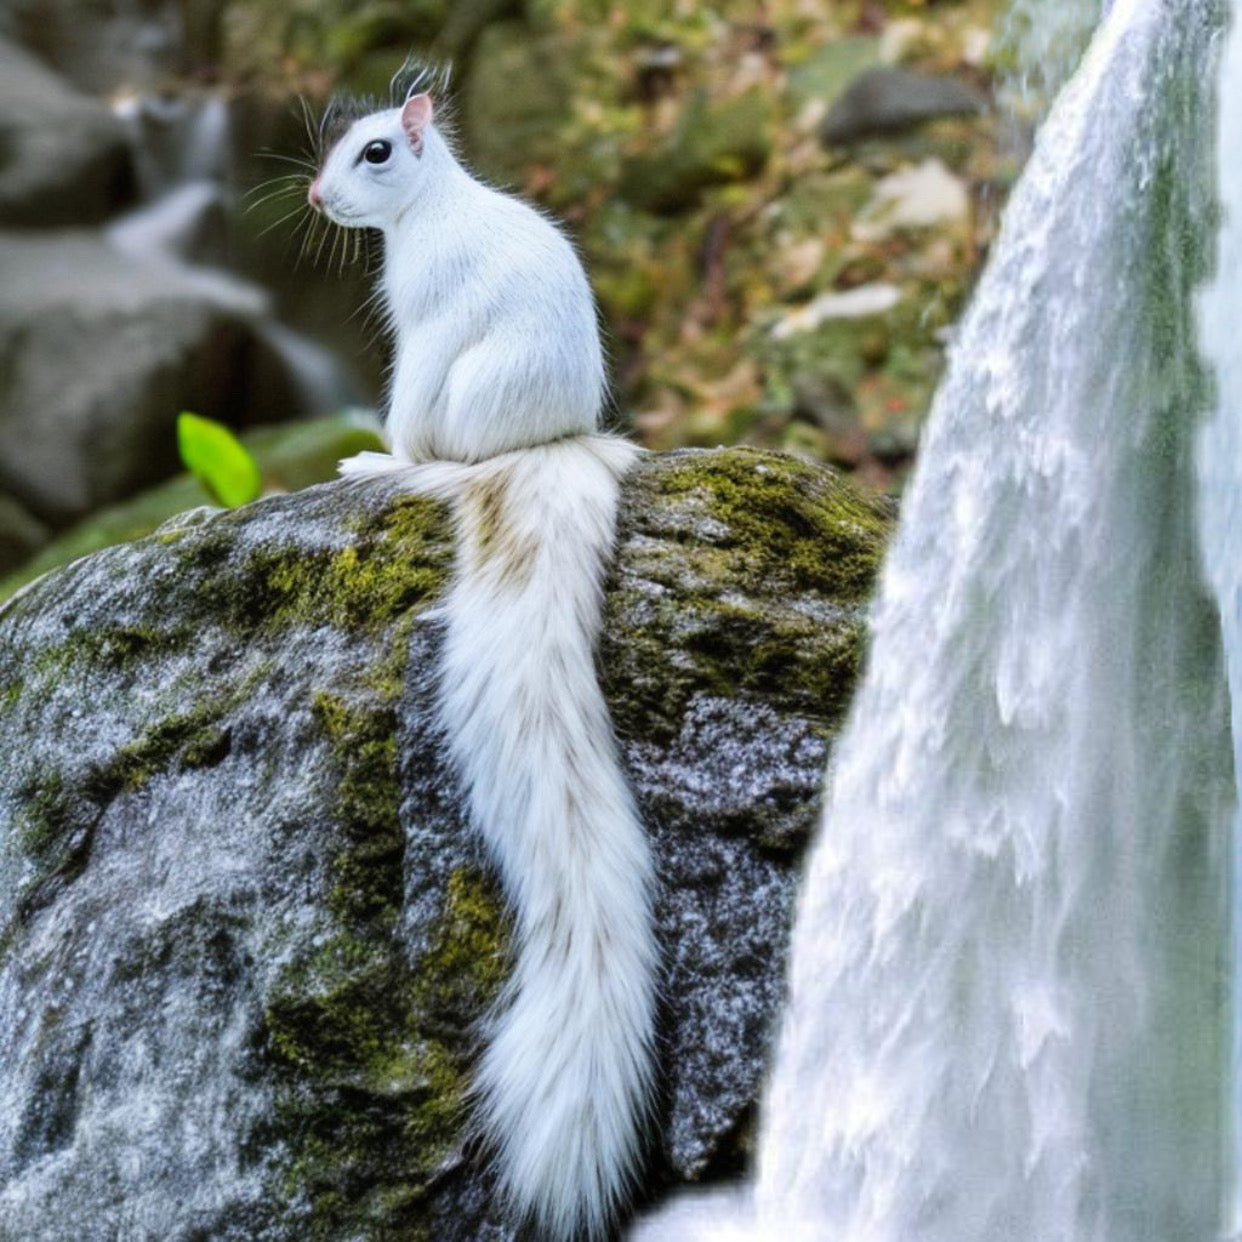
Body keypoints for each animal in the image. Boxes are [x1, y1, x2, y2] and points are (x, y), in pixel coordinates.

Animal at [309, 86, 658, 1239]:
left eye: (377, 151)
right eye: (335, 143)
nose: (318, 196)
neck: (426, 213)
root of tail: (546, 445)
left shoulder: (422, 324)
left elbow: (404, 390)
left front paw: (375, 453)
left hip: (457, 392)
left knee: (433, 445)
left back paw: (379, 463)